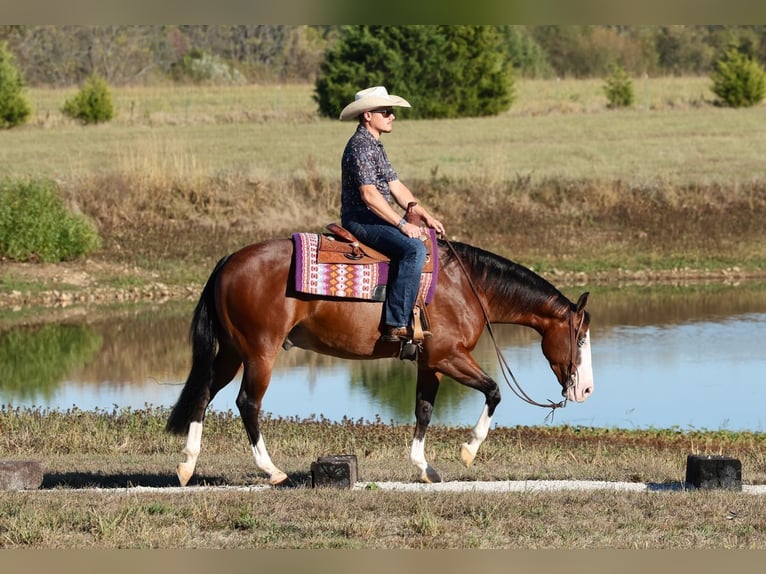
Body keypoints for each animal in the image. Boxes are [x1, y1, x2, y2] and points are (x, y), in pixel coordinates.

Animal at [166, 237, 594, 486]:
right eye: (579, 336)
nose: (586, 389)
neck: (468, 287)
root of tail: (228, 262)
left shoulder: (430, 363)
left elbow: (424, 410)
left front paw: (425, 468)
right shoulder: (450, 355)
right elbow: (494, 391)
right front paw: (468, 451)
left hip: (232, 351)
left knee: (203, 393)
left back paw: (187, 466)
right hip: (259, 353)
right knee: (248, 403)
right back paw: (272, 472)